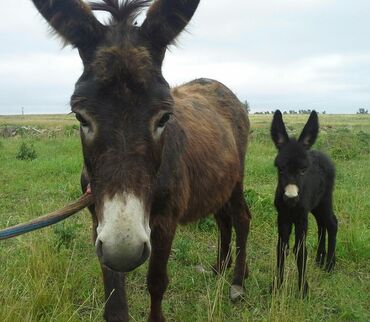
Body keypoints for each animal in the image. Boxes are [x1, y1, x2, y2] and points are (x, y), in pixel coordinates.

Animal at [270, 110, 336, 296]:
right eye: (280, 168)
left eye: (303, 169)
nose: (291, 198)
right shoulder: (283, 218)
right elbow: (281, 249)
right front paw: (277, 286)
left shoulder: (300, 219)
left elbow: (300, 252)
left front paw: (303, 290)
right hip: (316, 206)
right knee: (322, 224)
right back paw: (320, 259)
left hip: (325, 200)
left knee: (332, 224)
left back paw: (329, 265)